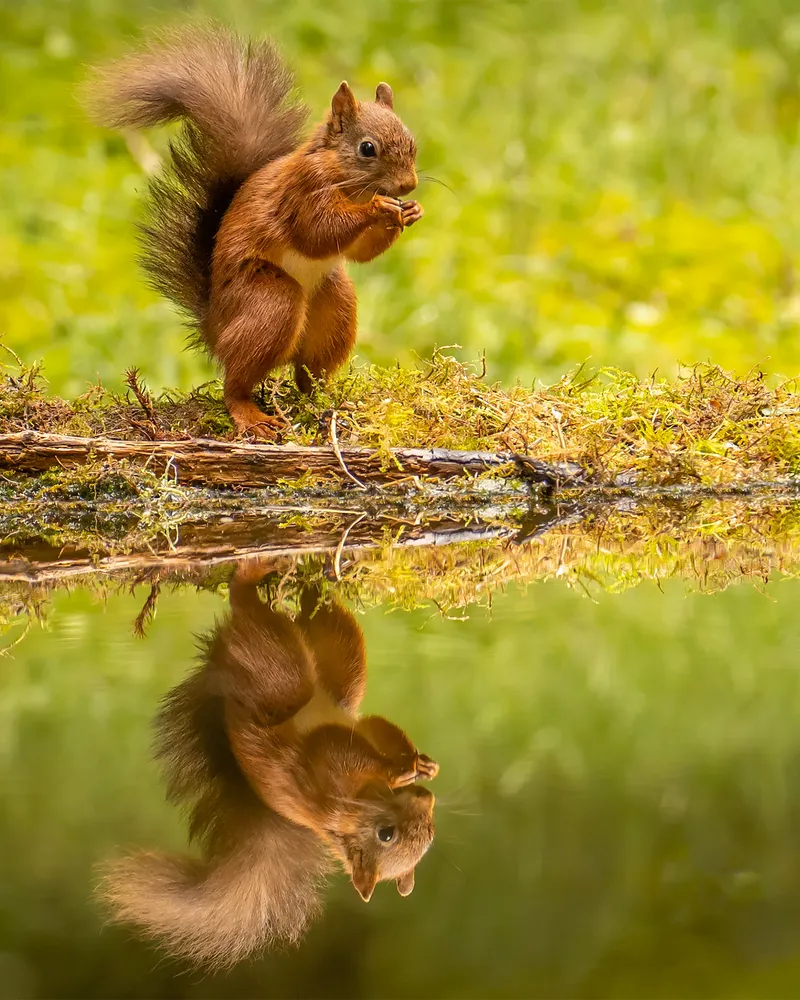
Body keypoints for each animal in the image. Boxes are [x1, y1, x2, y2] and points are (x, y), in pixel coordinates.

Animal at [86, 25, 423, 438]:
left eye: (412, 143)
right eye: (367, 148)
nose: (408, 185)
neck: (343, 177)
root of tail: (215, 325)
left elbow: (360, 252)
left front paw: (409, 212)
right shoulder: (300, 193)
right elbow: (317, 233)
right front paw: (378, 208)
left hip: (335, 304)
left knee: (307, 372)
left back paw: (327, 400)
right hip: (268, 300)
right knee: (236, 382)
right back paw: (250, 414)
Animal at [100, 560, 438, 968]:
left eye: (430, 833)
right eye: (386, 834)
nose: (425, 800)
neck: (362, 799)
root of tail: (226, 700)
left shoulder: (358, 737)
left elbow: (376, 728)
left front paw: (418, 764)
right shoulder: (328, 770)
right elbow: (352, 743)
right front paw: (410, 766)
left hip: (318, 676)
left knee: (303, 624)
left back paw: (300, 586)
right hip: (291, 677)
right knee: (278, 620)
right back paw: (283, 580)